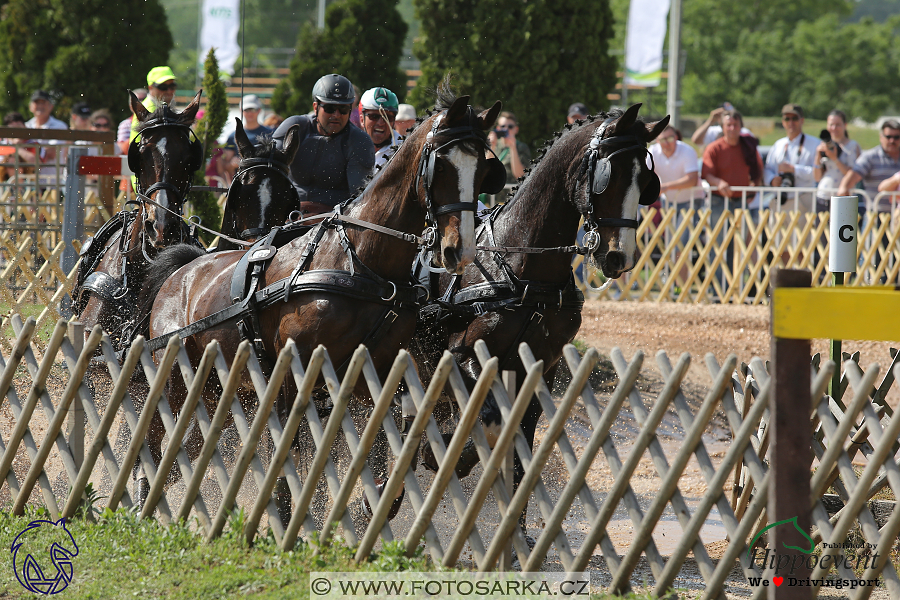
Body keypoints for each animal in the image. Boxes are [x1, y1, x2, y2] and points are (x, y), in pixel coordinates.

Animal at [410, 104, 668, 540]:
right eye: (608, 176)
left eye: (645, 182)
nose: (619, 257)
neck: (524, 269)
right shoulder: (463, 355)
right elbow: (487, 420)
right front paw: (447, 454)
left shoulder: (540, 368)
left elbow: (520, 439)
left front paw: (517, 529)